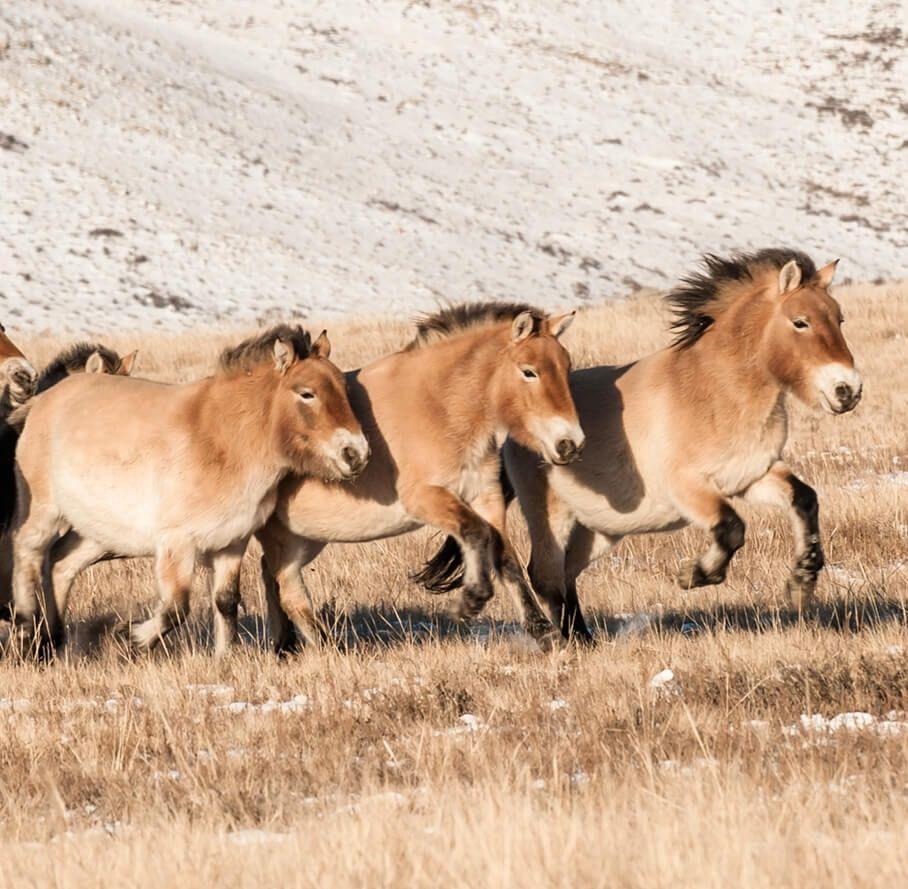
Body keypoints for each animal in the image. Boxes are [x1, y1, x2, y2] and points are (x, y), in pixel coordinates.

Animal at [9, 325, 368, 656]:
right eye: (307, 394)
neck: (222, 439)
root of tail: (42, 401)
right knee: (28, 550)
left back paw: (53, 640)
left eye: (344, 388)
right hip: (46, 512)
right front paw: (129, 639)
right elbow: (176, 608)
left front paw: (224, 658)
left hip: (98, 533)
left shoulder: (231, 542)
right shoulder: (177, 543)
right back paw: (26, 633)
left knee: (60, 564)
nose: (356, 454)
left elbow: (226, 601)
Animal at [255, 302, 583, 654]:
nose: (569, 443)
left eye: (566, 366)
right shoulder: (426, 499)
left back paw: (284, 646)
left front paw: (544, 633)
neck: (439, 408)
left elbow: (507, 560)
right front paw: (471, 600)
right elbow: (476, 533)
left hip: (305, 535)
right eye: (529, 371)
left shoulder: (486, 497)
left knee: (269, 574)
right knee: (283, 583)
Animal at [419, 249, 862, 642]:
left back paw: (586, 639)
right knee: (545, 575)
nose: (847, 390)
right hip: (553, 515)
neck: (715, 391)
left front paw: (801, 582)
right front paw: (695, 575)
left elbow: (804, 499)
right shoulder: (689, 488)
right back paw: (570, 643)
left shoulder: (752, 476)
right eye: (800, 322)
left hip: (601, 528)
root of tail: (510, 428)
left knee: (564, 575)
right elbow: (732, 527)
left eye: (839, 318)